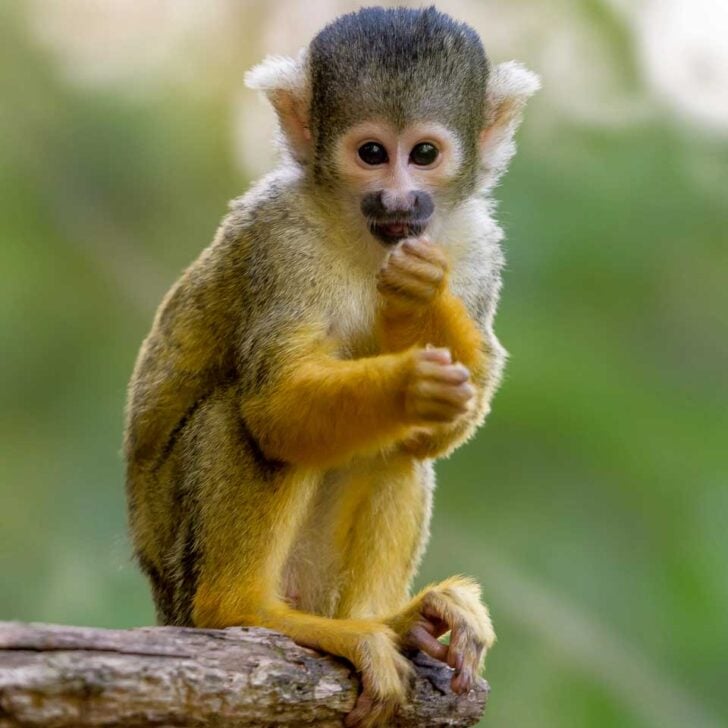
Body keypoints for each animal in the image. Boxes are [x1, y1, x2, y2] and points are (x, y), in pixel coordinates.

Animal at [124, 7, 538, 727]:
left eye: (423, 155)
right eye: (371, 154)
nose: (398, 201)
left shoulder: (481, 245)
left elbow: (456, 412)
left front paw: (423, 298)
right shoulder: (281, 241)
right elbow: (276, 407)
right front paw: (409, 378)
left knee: (399, 450)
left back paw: (396, 622)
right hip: (182, 569)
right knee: (246, 420)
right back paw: (243, 609)